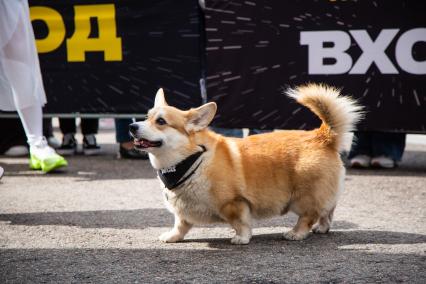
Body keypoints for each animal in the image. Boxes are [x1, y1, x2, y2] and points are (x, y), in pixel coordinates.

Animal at [130, 84, 362, 244]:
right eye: (146, 117)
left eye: (161, 122)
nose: (132, 127)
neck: (192, 160)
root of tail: (322, 136)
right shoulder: (183, 211)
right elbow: (180, 224)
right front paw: (172, 237)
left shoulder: (234, 203)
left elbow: (240, 223)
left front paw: (241, 238)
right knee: (327, 211)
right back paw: (322, 228)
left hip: (302, 197)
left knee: (309, 215)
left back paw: (296, 233)